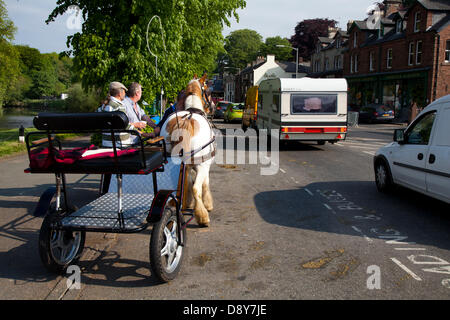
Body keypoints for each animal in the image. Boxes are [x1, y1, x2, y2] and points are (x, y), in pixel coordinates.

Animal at [160, 74, 216, 226]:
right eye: (208, 91)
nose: (213, 107)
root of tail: (186, 120)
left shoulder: (187, 166)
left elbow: (186, 183)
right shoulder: (205, 164)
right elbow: (204, 184)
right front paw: (207, 205)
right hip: (201, 164)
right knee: (196, 187)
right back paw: (203, 217)